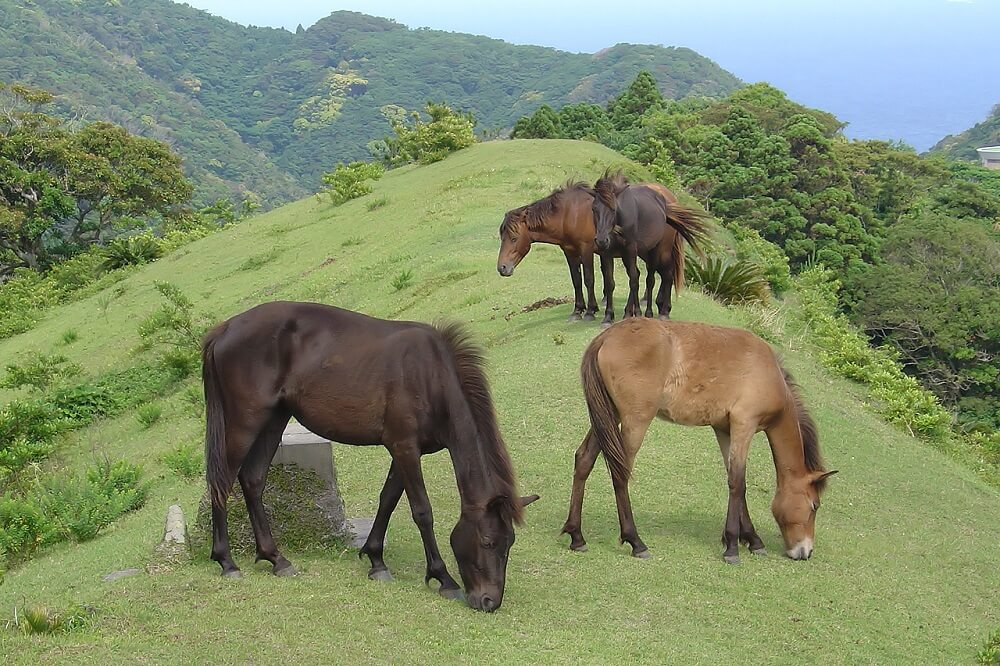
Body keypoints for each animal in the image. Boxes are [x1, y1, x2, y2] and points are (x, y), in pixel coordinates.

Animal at [202, 300, 540, 612]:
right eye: (488, 542)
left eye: (509, 542)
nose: (490, 601)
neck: (430, 375)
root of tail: (225, 329)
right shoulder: (404, 447)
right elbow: (422, 511)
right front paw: (442, 577)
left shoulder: (404, 451)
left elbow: (388, 500)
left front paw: (376, 560)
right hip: (245, 423)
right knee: (222, 482)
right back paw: (226, 561)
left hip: (274, 420)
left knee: (253, 480)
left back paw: (275, 558)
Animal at [564, 316, 836, 560]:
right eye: (814, 505)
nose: (805, 552)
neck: (769, 374)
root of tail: (605, 337)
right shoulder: (744, 425)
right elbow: (738, 483)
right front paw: (733, 546)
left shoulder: (725, 430)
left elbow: (736, 481)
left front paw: (751, 539)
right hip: (634, 420)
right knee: (621, 473)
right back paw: (636, 541)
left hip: (608, 416)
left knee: (584, 460)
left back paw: (576, 536)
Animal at [592, 172, 712, 320]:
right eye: (594, 208)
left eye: (613, 209)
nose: (601, 240)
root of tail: (666, 204)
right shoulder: (607, 252)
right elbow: (610, 282)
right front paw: (609, 316)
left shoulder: (630, 250)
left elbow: (633, 280)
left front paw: (633, 313)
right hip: (646, 253)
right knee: (659, 275)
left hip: (659, 251)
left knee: (658, 277)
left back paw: (657, 311)